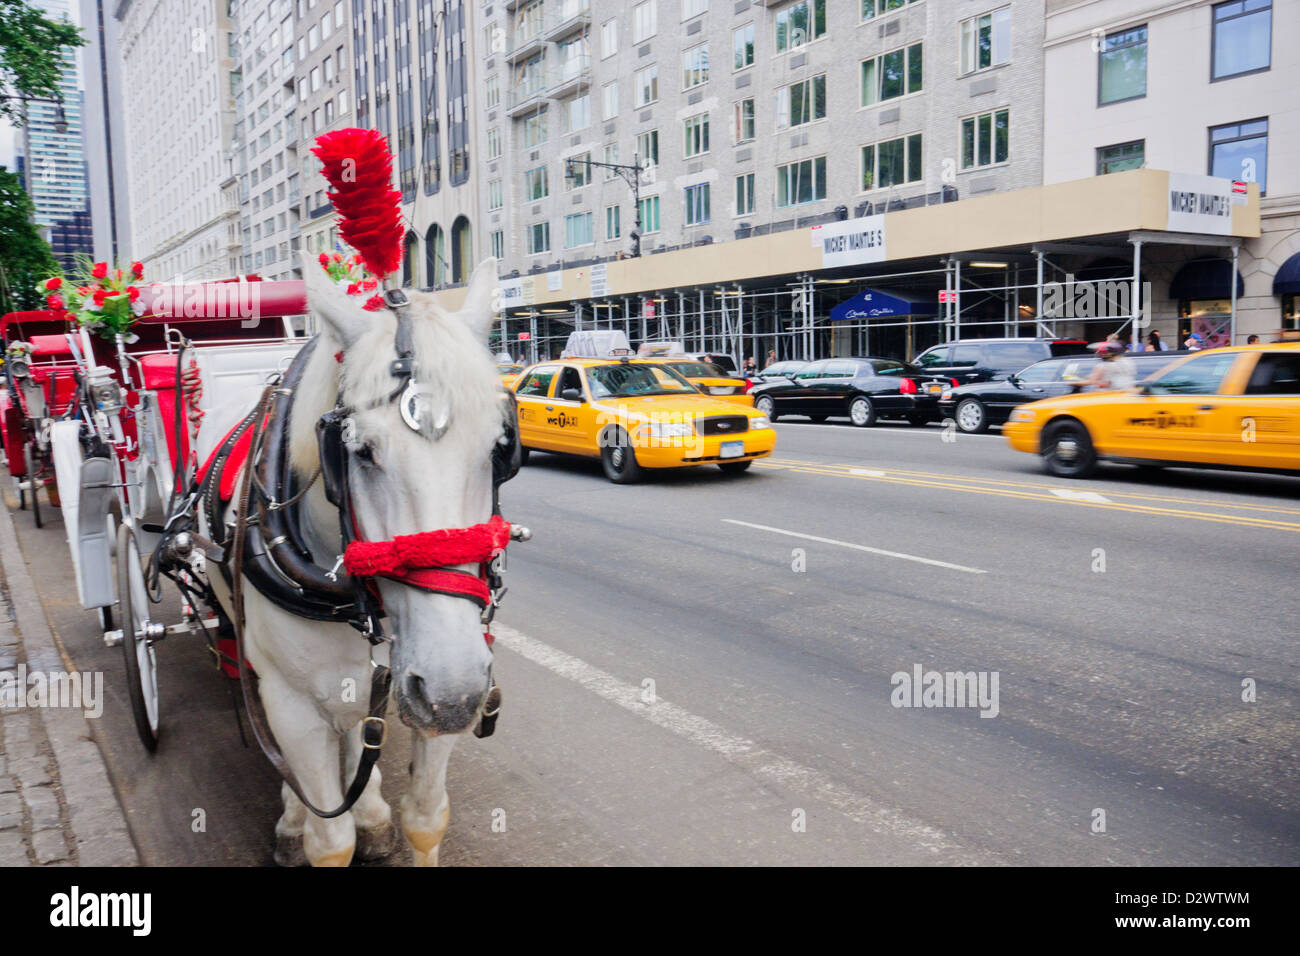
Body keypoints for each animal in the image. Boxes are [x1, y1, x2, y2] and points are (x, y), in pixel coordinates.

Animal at [202, 252, 506, 868]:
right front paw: (310, 822)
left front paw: (379, 812)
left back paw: (368, 809)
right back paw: (297, 817)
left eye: (498, 448)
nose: (453, 690)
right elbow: (329, 841)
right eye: (360, 452)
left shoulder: (433, 688)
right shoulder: (294, 704)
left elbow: (426, 818)